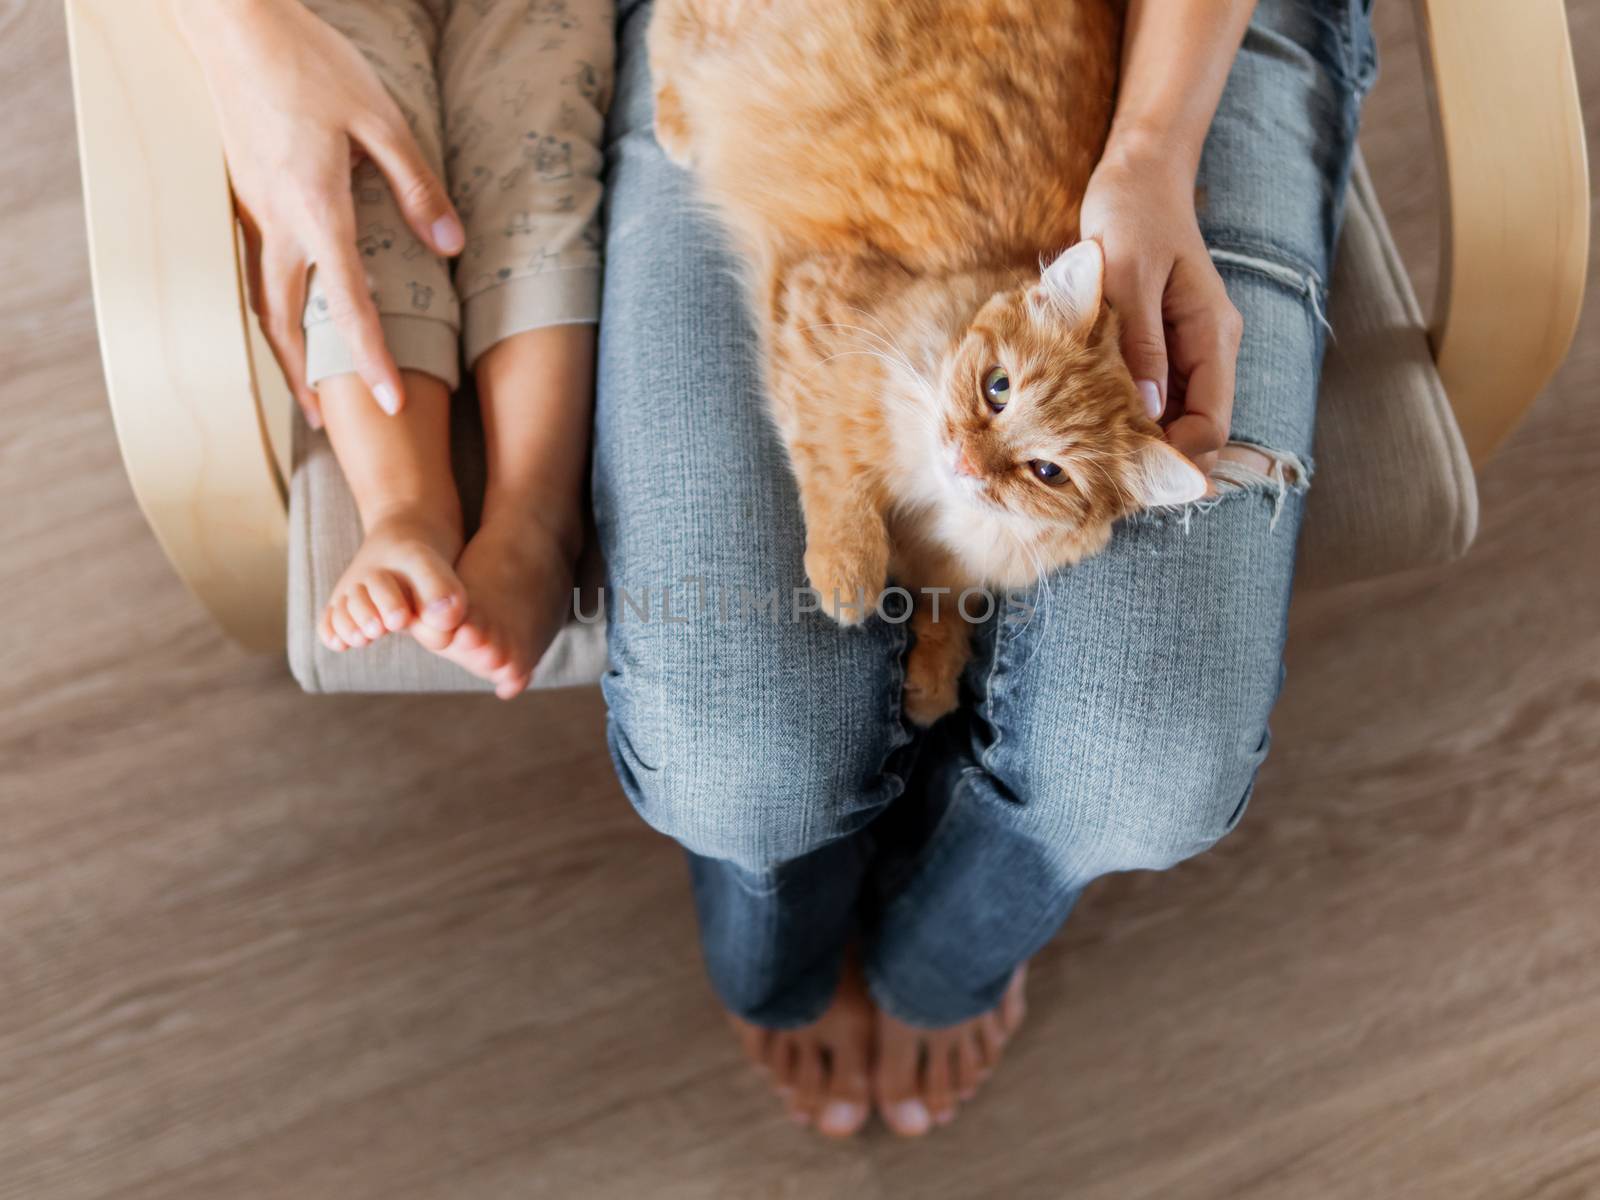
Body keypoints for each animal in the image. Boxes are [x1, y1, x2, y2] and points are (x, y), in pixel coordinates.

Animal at [646, 0, 1203, 723]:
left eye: (1048, 472)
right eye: (998, 388)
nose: (965, 460)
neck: (931, 510)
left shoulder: (958, 569)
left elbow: (950, 608)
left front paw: (933, 682)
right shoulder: (816, 315)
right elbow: (835, 472)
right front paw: (848, 571)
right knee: (663, 29)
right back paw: (676, 122)